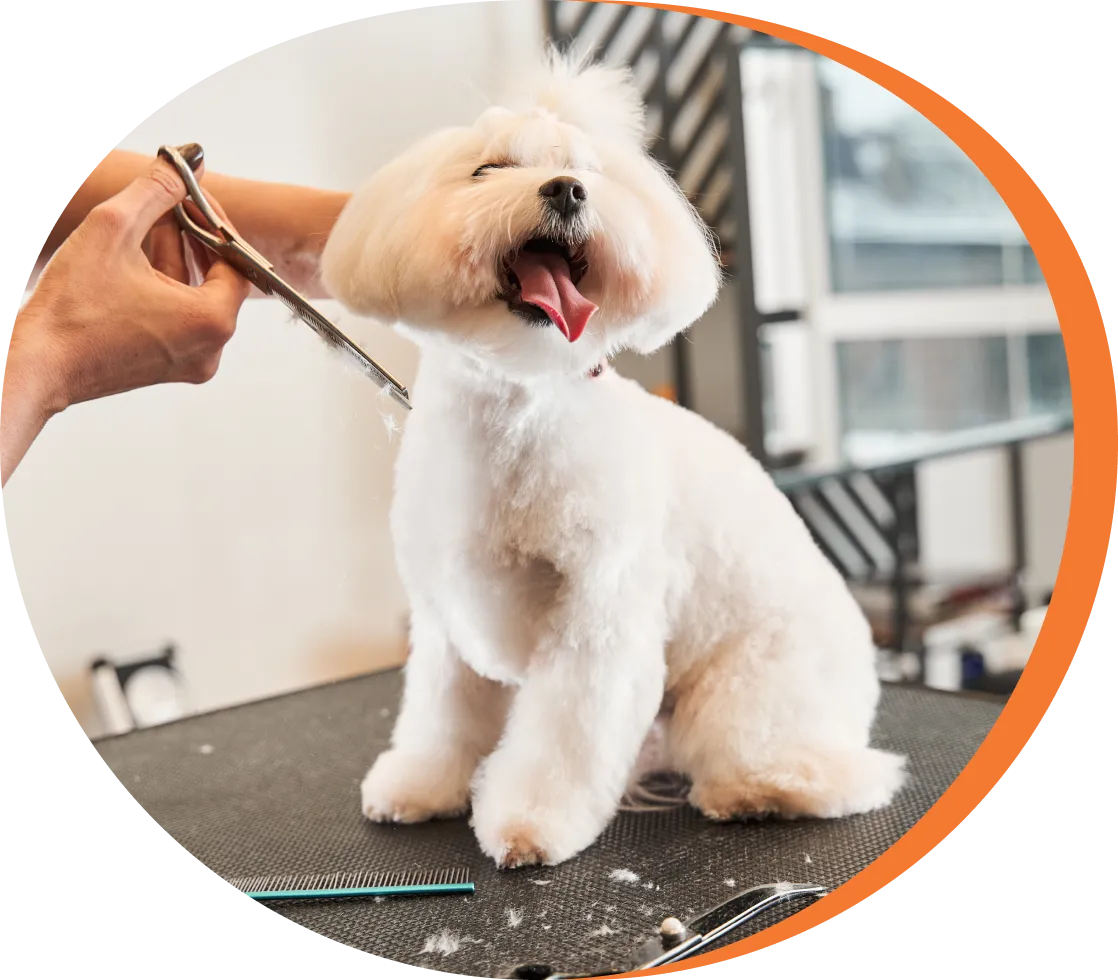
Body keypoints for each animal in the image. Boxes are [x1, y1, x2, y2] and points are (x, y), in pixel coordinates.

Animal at [317, 51, 907, 862]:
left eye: (586, 171)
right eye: (488, 169)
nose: (566, 190)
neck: (517, 409)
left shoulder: (597, 619)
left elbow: (562, 739)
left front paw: (531, 823)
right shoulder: (445, 623)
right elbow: (443, 717)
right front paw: (421, 786)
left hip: (750, 689)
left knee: (832, 770)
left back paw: (758, 789)